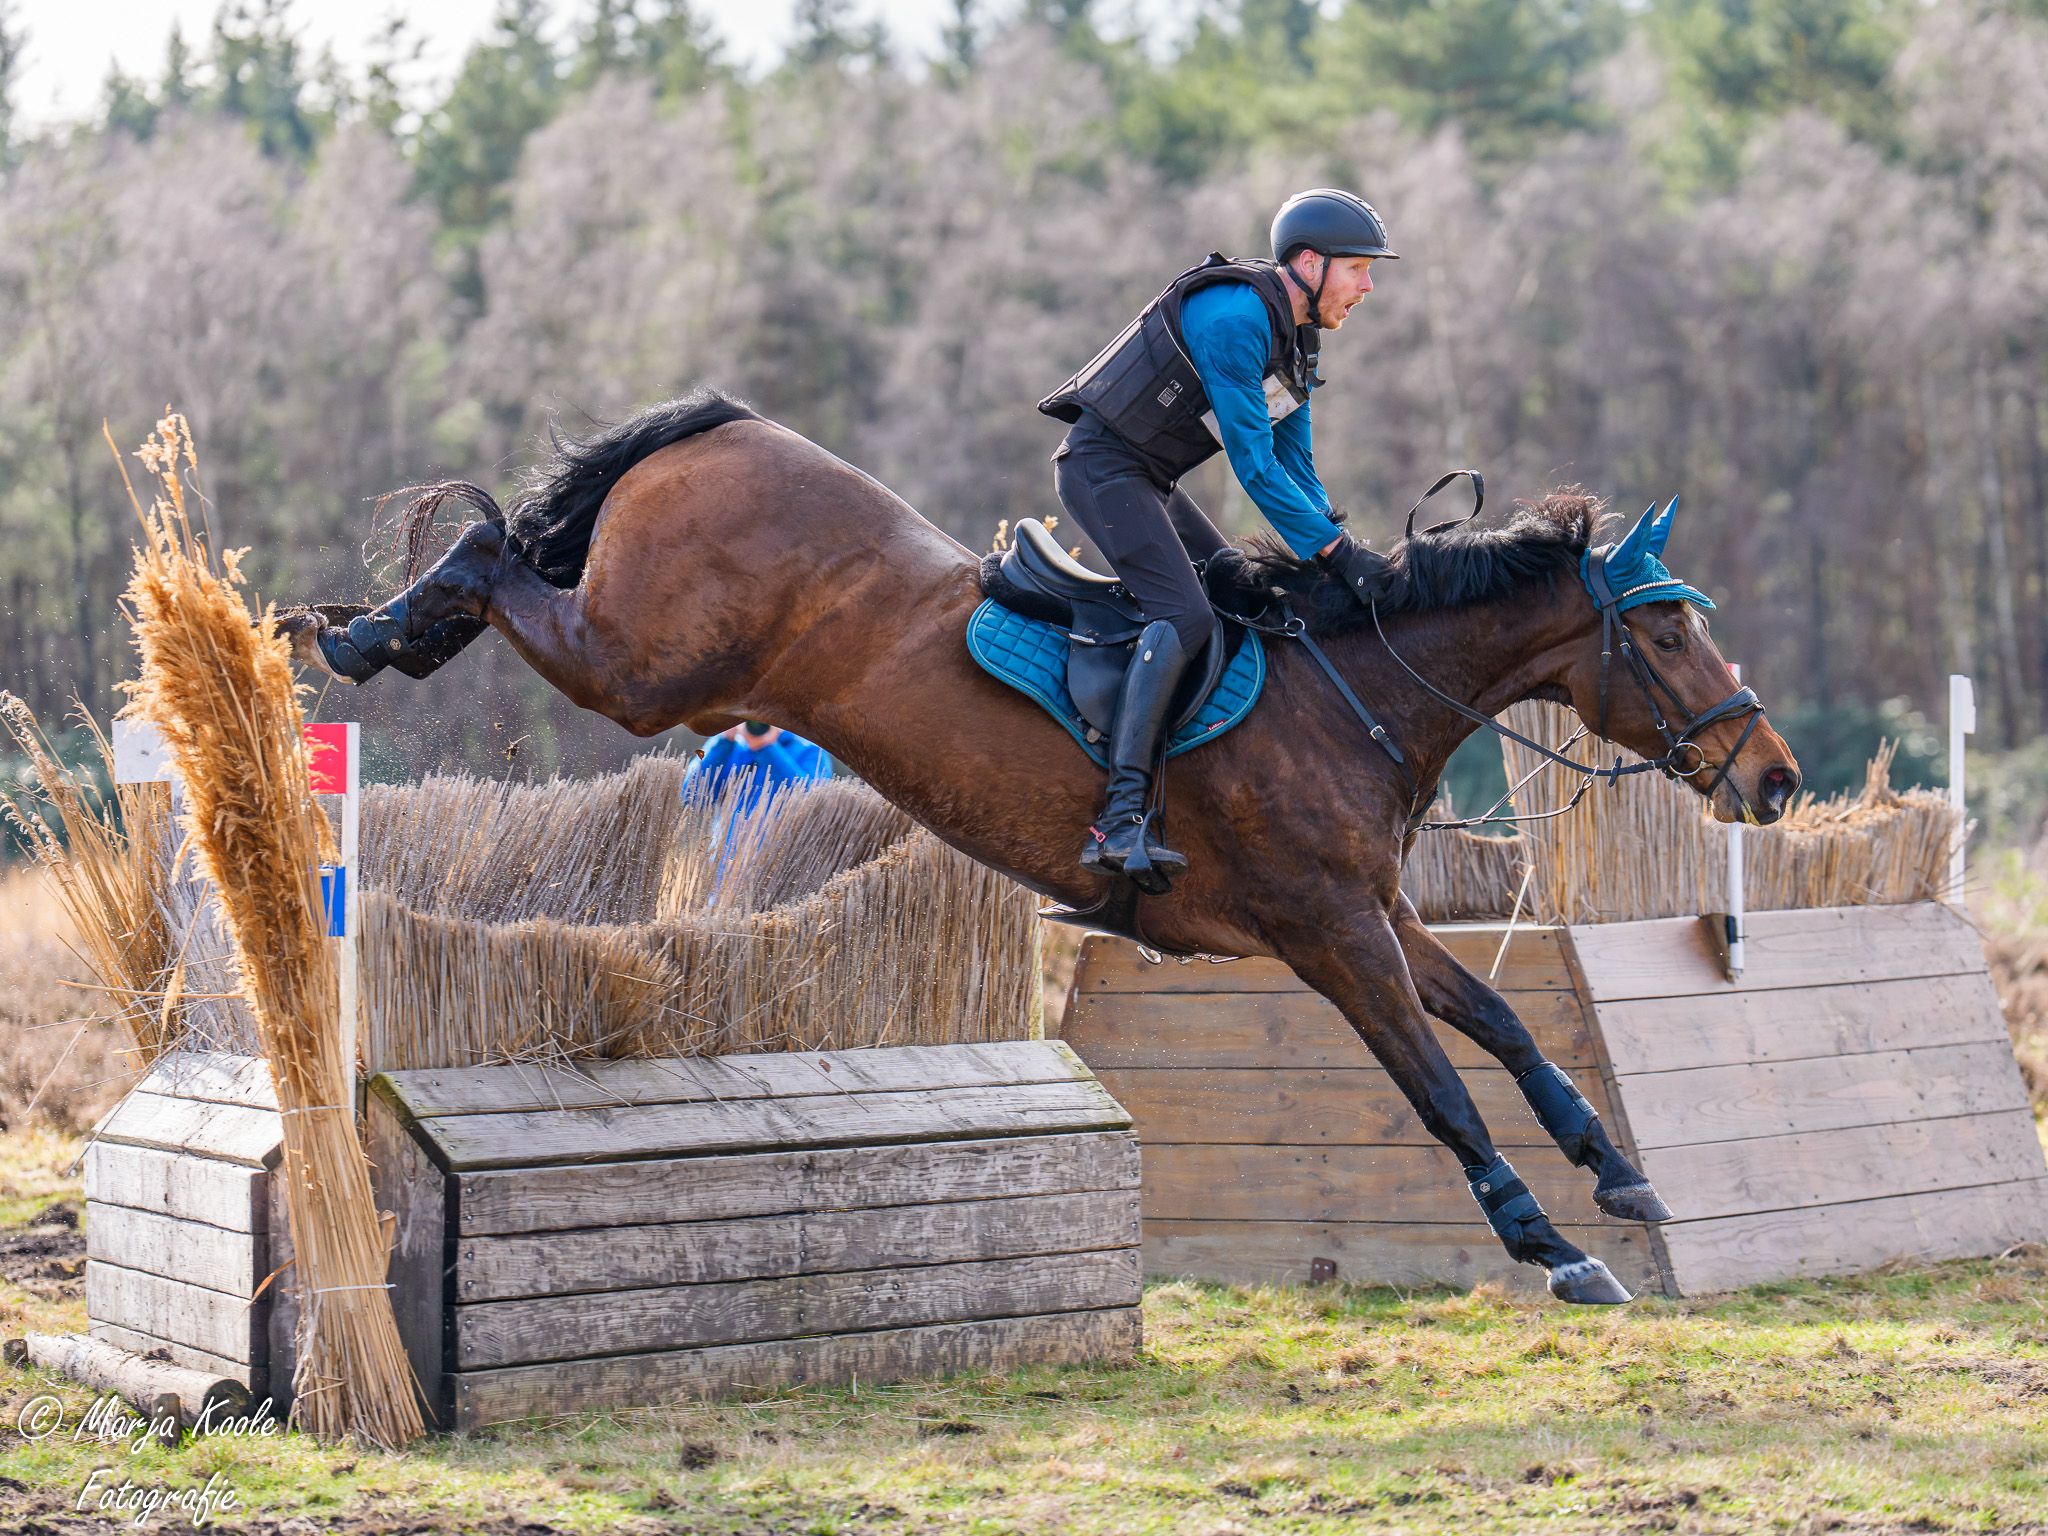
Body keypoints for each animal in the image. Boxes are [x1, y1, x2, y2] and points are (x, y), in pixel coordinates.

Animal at [281, 390, 1801, 1305]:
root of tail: (724, 426)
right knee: (490, 554)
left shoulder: (1380, 916)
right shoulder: (1326, 934)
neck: (1353, 692)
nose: (1774, 779)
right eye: (1669, 631)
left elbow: (1504, 1023)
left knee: (503, 561)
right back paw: (357, 636)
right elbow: (1438, 1089)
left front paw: (1617, 1171)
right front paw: (1551, 1246)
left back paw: (376, 634)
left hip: (667, 673)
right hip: (642, 668)